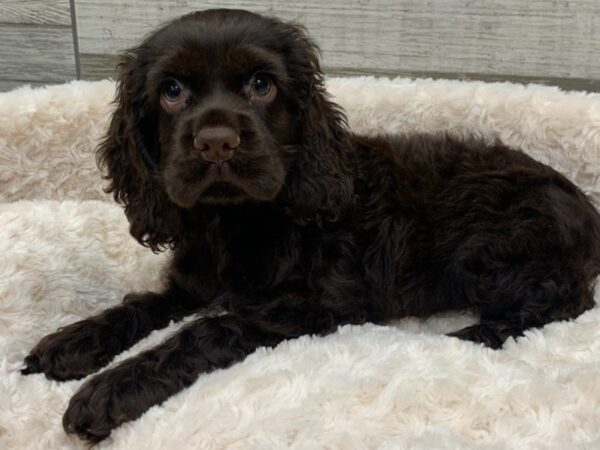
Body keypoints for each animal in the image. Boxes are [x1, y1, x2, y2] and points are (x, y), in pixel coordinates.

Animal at [21, 7, 596, 442]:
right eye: (172, 91)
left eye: (262, 85)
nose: (216, 143)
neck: (235, 220)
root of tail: (587, 209)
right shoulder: (192, 282)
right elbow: (141, 305)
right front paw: (69, 343)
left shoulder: (314, 306)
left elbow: (207, 328)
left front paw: (108, 391)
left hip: (493, 246)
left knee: (563, 299)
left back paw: (469, 336)